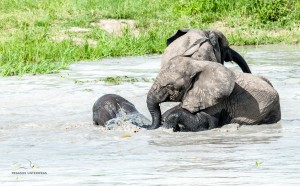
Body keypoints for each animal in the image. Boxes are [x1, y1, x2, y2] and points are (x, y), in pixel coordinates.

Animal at [144, 57, 282, 131]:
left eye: (169, 86)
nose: (147, 127)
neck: (197, 64)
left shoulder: (218, 98)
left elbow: (204, 122)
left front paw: (168, 126)